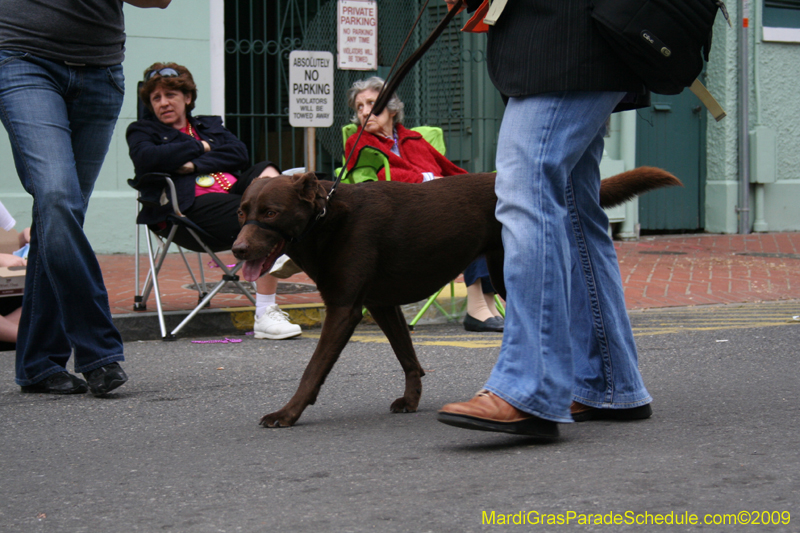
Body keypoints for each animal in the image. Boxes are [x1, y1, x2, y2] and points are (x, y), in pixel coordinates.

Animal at [231, 168, 680, 426]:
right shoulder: (381, 303)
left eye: (270, 212)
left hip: (513, 274)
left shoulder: (344, 309)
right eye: (242, 211)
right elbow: (408, 357)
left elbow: (312, 371)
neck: (326, 219)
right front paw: (411, 400)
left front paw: (287, 413)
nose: (236, 249)